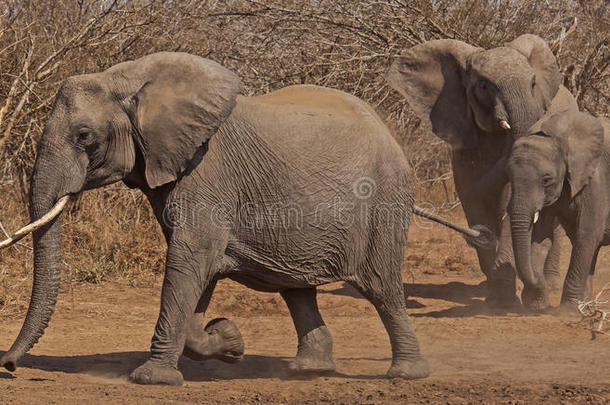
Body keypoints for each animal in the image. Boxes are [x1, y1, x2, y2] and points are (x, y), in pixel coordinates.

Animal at [1, 52, 428, 384]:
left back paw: (405, 374)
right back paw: (309, 371)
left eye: (84, 136)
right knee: (297, 290)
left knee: (381, 287)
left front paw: (152, 379)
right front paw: (230, 340)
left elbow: (190, 258)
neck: (126, 79)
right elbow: (196, 266)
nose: (8, 365)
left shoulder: (206, 172)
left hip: (385, 199)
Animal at [384, 34, 576, 308]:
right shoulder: (462, 137)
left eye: (533, 83)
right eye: (485, 86)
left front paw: (505, 297)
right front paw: (496, 295)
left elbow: (508, 204)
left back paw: (550, 284)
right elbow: (474, 201)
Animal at [504, 110, 608, 312]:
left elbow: (586, 234)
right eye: (509, 177)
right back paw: (586, 306)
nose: (523, 294)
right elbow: (541, 236)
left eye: (546, 180)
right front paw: (536, 304)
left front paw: (567, 312)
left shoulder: (596, 179)